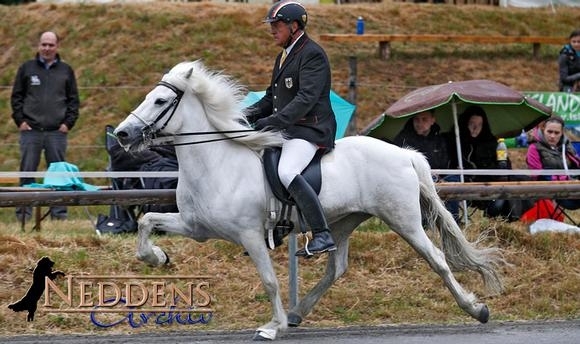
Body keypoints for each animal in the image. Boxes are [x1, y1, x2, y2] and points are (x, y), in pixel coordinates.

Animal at [113, 59, 502, 342]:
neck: (216, 161)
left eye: (160, 101)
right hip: (342, 221)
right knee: (336, 267)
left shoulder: (250, 235)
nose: (122, 134)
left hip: (403, 220)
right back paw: (299, 312)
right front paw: (156, 257)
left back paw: (475, 308)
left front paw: (273, 326)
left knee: (437, 258)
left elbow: (269, 280)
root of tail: (404, 153)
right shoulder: (197, 227)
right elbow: (146, 221)